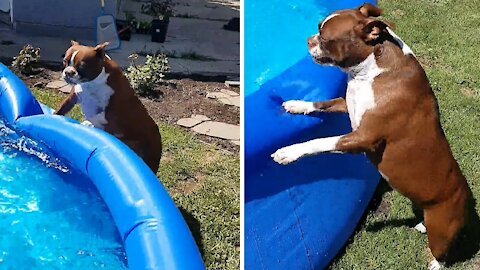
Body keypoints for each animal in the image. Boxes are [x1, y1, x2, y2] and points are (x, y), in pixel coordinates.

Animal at [54, 41, 161, 173]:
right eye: (65, 61)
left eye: (82, 66)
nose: (68, 72)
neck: (91, 83)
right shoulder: (73, 97)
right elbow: (61, 108)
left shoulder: (110, 114)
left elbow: (99, 118)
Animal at [272, 3, 470, 268]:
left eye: (324, 38)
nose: (308, 40)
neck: (370, 73)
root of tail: (466, 196)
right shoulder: (347, 104)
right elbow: (322, 103)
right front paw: (297, 105)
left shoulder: (363, 137)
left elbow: (320, 141)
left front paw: (289, 152)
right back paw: (421, 225)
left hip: (443, 229)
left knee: (443, 253)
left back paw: (435, 263)